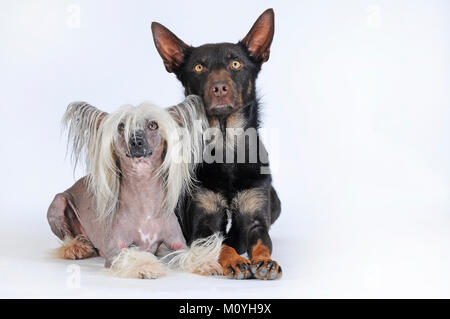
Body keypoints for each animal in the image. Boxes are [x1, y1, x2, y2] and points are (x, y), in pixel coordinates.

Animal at [153, 8, 284, 282]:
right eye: (199, 67)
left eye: (236, 64)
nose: (219, 88)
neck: (226, 149)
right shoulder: (204, 225)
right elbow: (220, 244)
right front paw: (234, 261)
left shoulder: (255, 218)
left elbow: (260, 242)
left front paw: (264, 262)